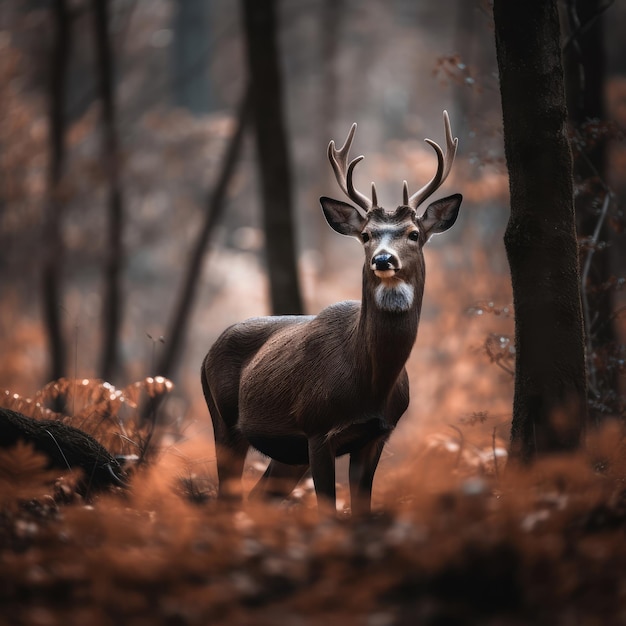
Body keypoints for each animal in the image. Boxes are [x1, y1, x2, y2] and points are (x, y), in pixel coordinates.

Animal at [202, 111, 460, 512]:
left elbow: (360, 511)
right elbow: (328, 511)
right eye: (366, 235)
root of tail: (207, 354)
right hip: (223, 420)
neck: (371, 383)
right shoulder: (318, 429)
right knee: (226, 499)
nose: (383, 259)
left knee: (256, 496)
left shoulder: (376, 435)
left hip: (285, 455)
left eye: (414, 233)